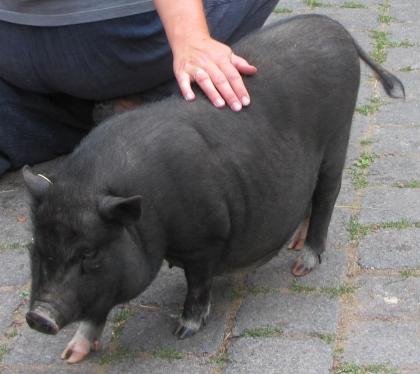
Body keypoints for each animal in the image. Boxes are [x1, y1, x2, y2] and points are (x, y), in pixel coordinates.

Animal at [22, 16, 404, 364]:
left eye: (89, 254)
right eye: (36, 247)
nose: (38, 316)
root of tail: (334, 26)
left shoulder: (205, 239)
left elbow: (197, 284)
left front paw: (183, 331)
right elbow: (97, 305)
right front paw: (71, 356)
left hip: (338, 138)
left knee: (326, 197)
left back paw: (301, 265)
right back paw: (295, 244)